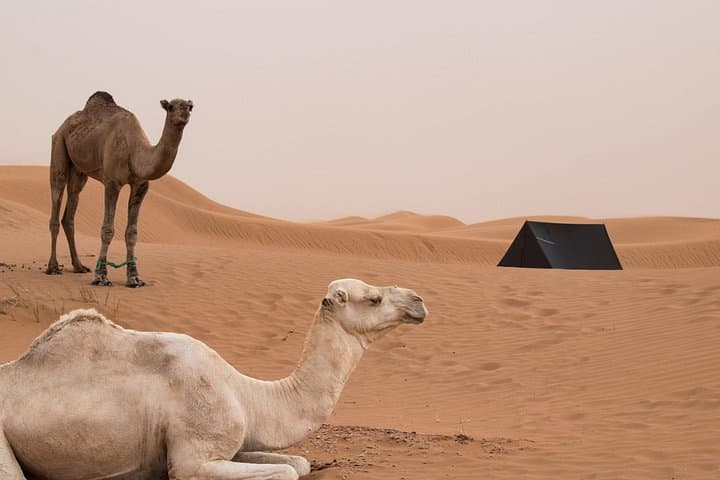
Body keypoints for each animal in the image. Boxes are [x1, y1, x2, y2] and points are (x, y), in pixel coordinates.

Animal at [0, 279, 427, 480]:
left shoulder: (230, 445)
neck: (246, 393)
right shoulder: (195, 456)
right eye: (372, 298)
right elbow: (287, 471)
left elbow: (299, 462)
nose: (419, 301)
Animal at [45, 91, 193, 287]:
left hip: (79, 170)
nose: (184, 111)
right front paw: (101, 276)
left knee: (71, 207)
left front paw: (134, 278)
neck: (135, 152)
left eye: (190, 106)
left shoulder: (140, 185)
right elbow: (107, 230)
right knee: (57, 192)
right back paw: (53, 267)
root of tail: (63, 125)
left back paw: (79, 266)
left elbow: (132, 233)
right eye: (170, 106)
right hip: (59, 145)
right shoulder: (112, 182)